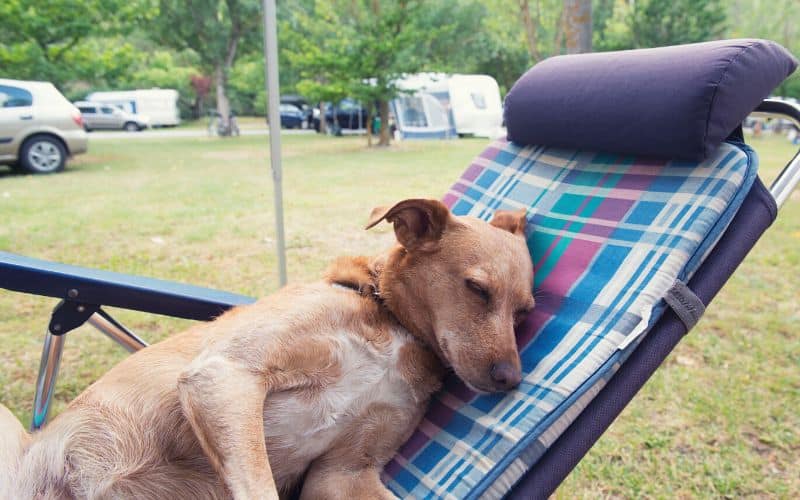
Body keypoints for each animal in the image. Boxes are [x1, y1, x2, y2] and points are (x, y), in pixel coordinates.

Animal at [1, 199, 536, 500]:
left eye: (523, 312)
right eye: (477, 289)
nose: (512, 380)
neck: (393, 323)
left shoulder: (342, 475)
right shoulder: (224, 374)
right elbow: (258, 488)